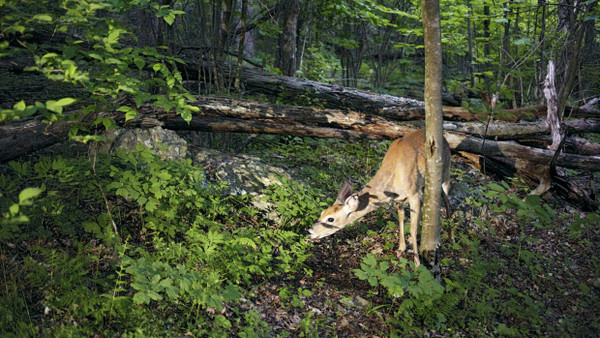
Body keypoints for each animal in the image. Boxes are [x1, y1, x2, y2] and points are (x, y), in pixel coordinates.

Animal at [308, 128, 448, 266]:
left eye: (330, 219)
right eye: (322, 212)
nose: (310, 231)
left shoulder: (414, 193)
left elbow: (413, 228)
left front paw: (417, 263)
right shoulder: (400, 199)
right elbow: (401, 218)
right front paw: (401, 249)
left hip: (444, 171)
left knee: (446, 196)